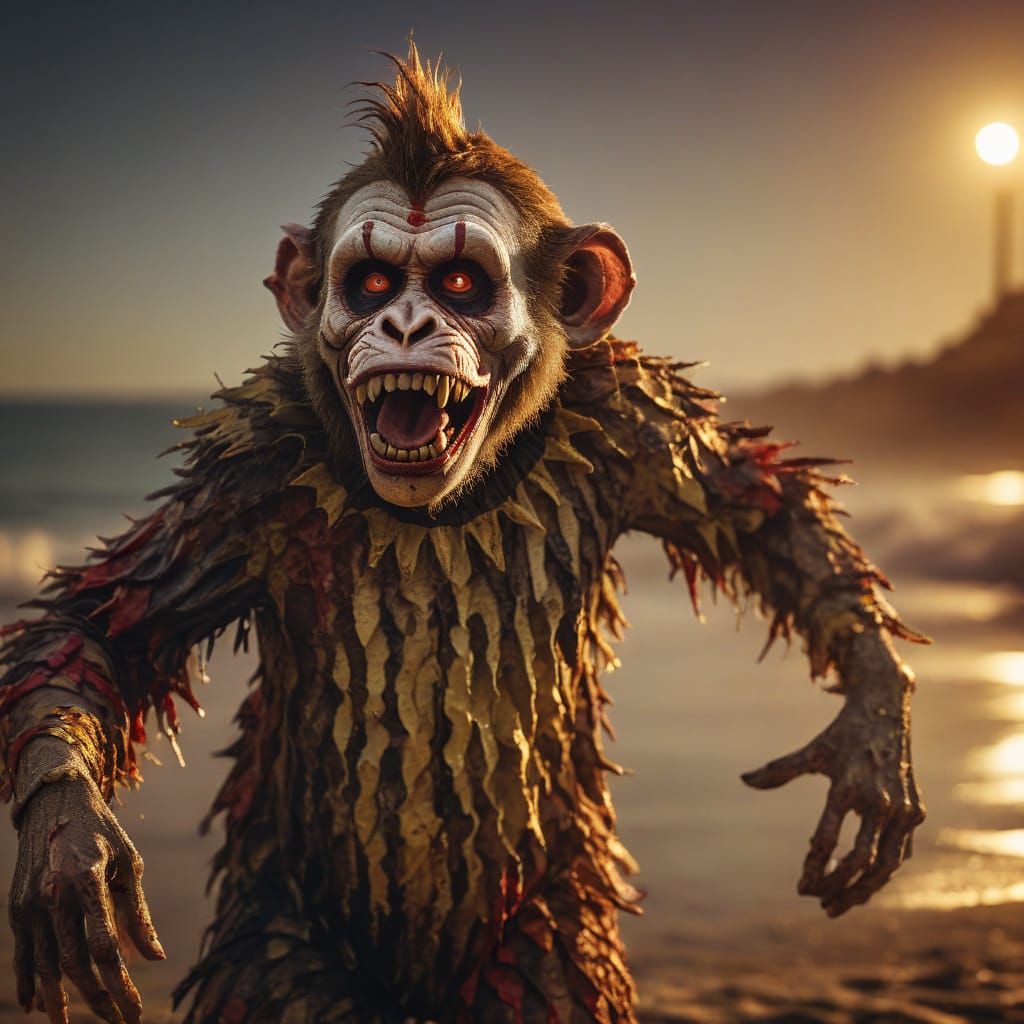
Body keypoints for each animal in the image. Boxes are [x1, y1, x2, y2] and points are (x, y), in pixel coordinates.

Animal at [0, 45, 925, 1024]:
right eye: (370, 283)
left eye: (457, 284)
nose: (404, 323)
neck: (441, 510)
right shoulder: (247, 473)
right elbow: (102, 626)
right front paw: (70, 842)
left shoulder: (628, 415)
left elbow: (759, 504)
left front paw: (874, 729)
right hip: (281, 934)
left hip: (547, 932)